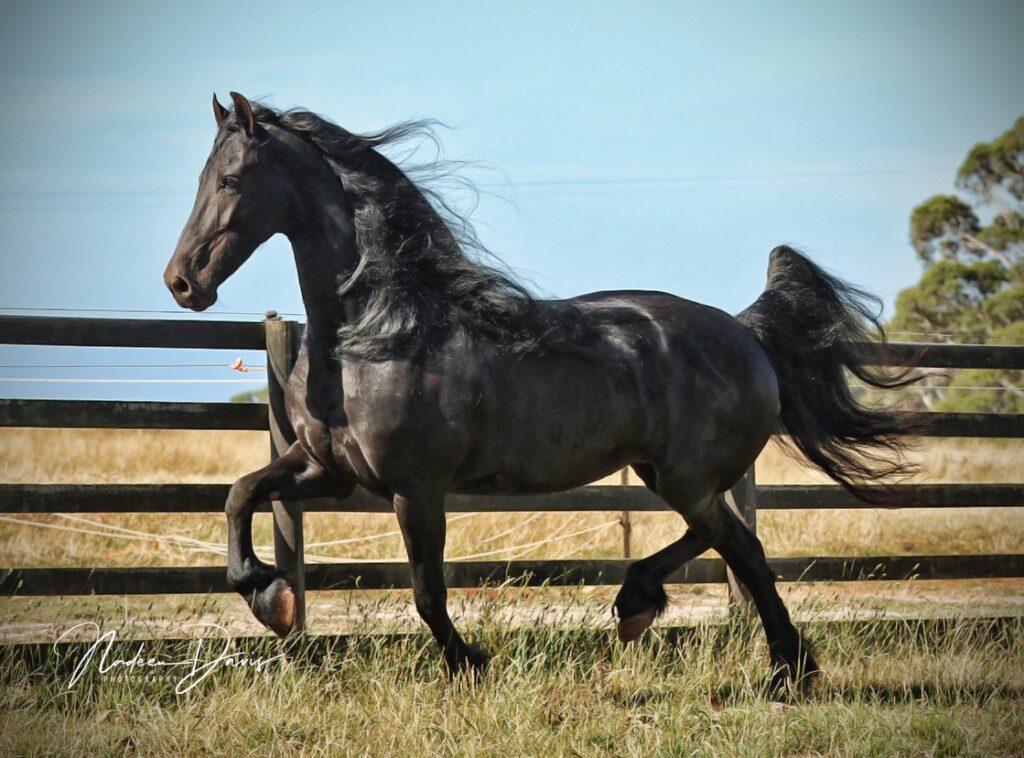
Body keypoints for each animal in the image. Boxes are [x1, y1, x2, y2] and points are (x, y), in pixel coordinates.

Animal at [164, 92, 914, 691]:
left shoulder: (416, 488)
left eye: (231, 177)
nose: (182, 283)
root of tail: (746, 331)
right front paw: (270, 598)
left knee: (733, 545)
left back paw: (711, 639)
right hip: (668, 473)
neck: (374, 335)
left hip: (686, 476)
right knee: (734, 546)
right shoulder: (327, 469)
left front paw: (471, 664)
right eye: (198, 177)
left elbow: (427, 592)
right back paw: (734, 647)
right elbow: (240, 494)